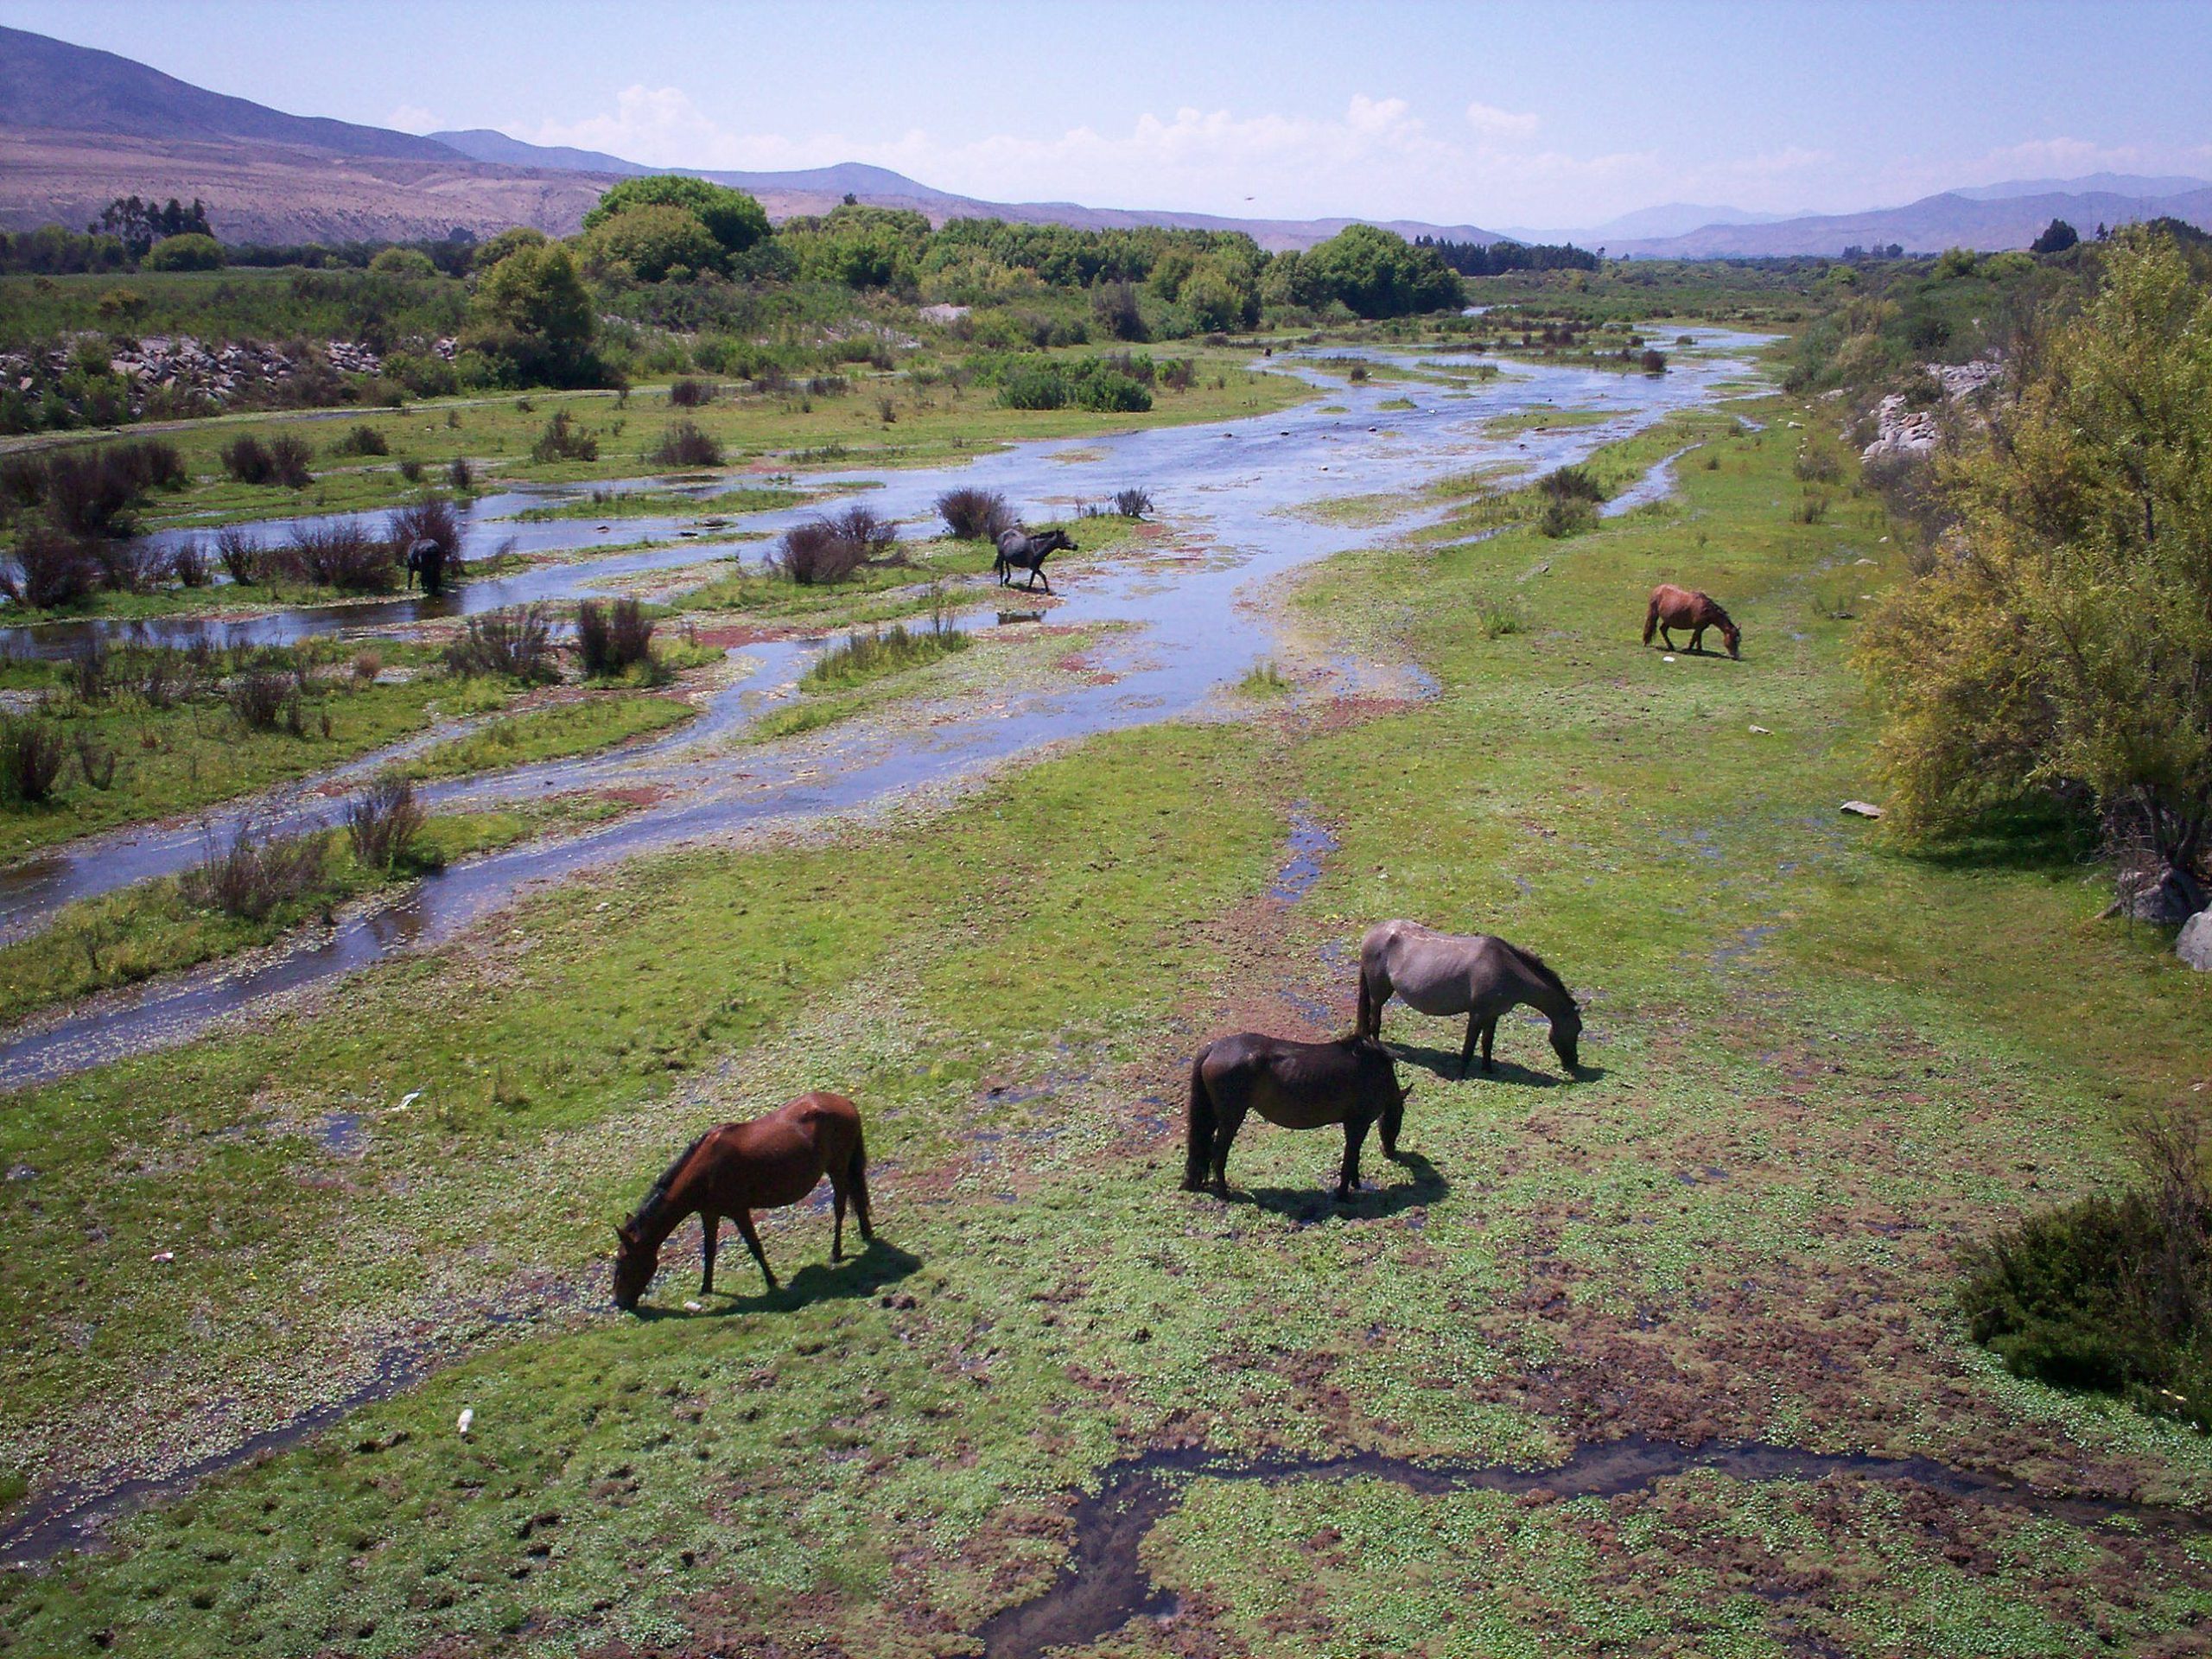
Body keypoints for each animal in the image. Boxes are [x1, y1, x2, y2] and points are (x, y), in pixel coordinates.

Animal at [619, 1096, 875, 1318]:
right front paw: (706, 1287)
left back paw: (836, 1252)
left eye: (622, 1262)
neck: (704, 1173)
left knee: (840, 1206)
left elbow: (754, 1246)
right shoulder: (709, 1213)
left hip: (837, 1168)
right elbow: (709, 1250)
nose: (619, 1302)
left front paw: (771, 1281)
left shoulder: (739, 1212)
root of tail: (845, 1102)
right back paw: (865, 1233)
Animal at [1185, 1035, 1407, 1203]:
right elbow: (1351, 1156)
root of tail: (1214, 1048)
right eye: (1398, 1120)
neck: (1374, 1070)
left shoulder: (1351, 1125)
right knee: (1218, 1154)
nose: (1390, 1152)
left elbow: (1354, 1155)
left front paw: (1355, 1184)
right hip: (1230, 1119)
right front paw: (1343, 1194)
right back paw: (1224, 1193)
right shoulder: (1357, 1124)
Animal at [1353, 915, 1583, 1084]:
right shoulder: (1477, 1014)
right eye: (1576, 1030)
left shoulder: (1493, 1015)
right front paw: (1461, 1075)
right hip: (1380, 992)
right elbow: (1469, 1046)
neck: (1506, 968)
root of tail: (1372, 932)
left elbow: (1487, 1043)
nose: (1573, 1064)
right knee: (1374, 1019)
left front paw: (1488, 1069)